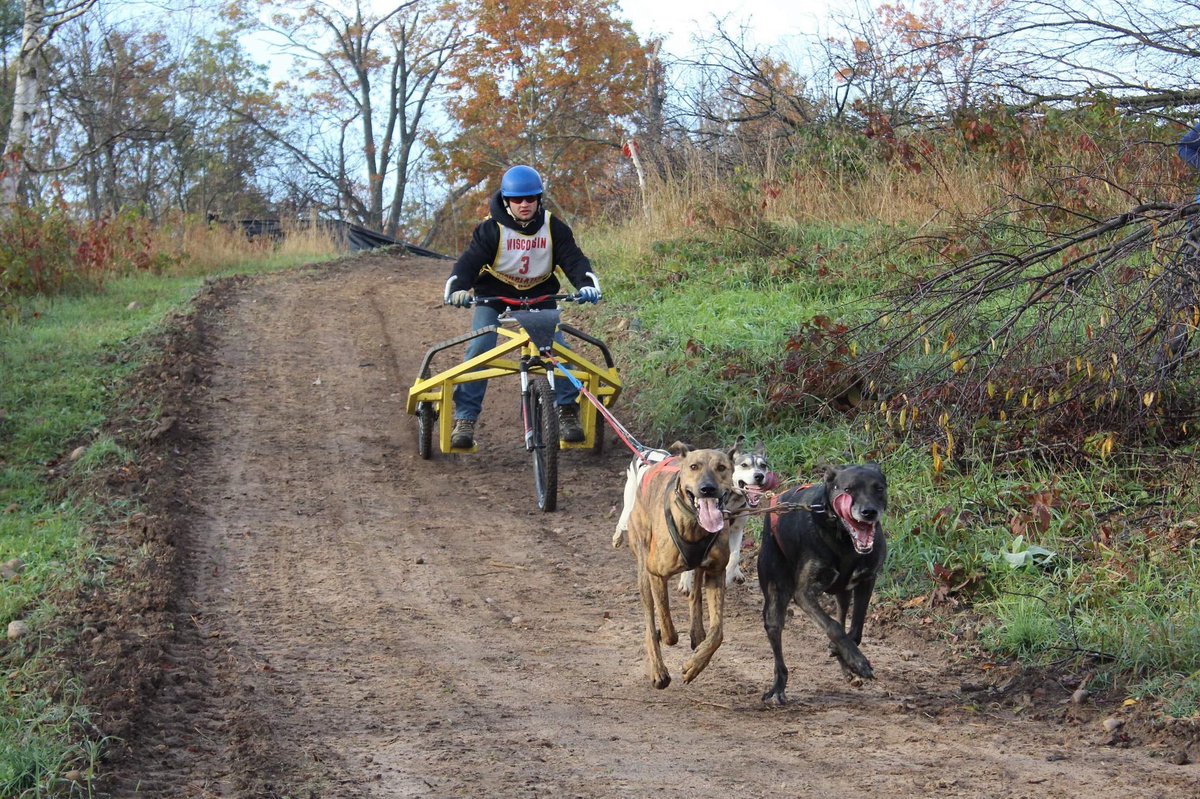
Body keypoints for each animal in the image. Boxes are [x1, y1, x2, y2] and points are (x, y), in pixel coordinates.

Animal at [624, 439, 734, 686]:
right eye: (694, 467)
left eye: (721, 467)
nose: (707, 489)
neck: (694, 525)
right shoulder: (656, 573)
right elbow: (665, 620)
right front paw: (666, 636)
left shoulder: (716, 572)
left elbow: (718, 632)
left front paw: (695, 665)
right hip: (642, 567)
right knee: (649, 619)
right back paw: (658, 670)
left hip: (699, 569)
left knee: (695, 596)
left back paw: (697, 633)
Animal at [753, 460, 888, 705]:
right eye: (848, 490)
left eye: (879, 488)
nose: (869, 512)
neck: (844, 540)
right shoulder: (804, 593)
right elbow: (833, 627)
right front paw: (858, 661)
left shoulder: (867, 580)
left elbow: (854, 629)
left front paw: (849, 658)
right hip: (775, 596)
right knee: (777, 639)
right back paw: (778, 687)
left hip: (843, 593)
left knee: (843, 615)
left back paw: (845, 664)